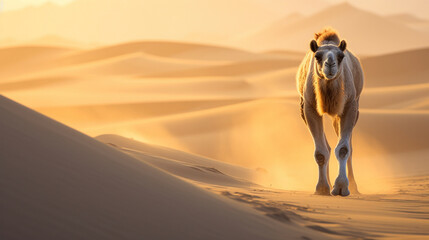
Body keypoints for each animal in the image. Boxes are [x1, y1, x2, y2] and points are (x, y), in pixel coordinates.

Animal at [296, 27, 362, 196]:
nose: (330, 63)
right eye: (317, 56)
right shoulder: (309, 108)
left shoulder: (349, 106)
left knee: (349, 147)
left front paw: (341, 187)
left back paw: (354, 187)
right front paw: (322, 188)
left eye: (341, 56)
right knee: (327, 147)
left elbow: (344, 149)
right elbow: (320, 153)